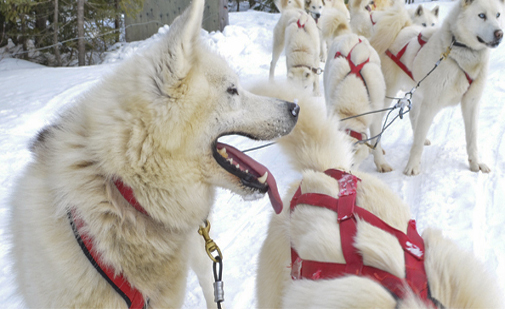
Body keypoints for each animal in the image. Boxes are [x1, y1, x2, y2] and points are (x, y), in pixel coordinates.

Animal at [368, 0, 502, 176]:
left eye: (498, 15)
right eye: (482, 15)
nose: (500, 34)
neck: (459, 53)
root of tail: (402, 29)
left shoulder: (472, 103)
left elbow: (472, 139)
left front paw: (476, 164)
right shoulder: (430, 105)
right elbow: (417, 144)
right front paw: (412, 166)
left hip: (418, 92)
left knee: (413, 116)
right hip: (387, 95)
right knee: (375, 123)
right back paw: (378, 154)